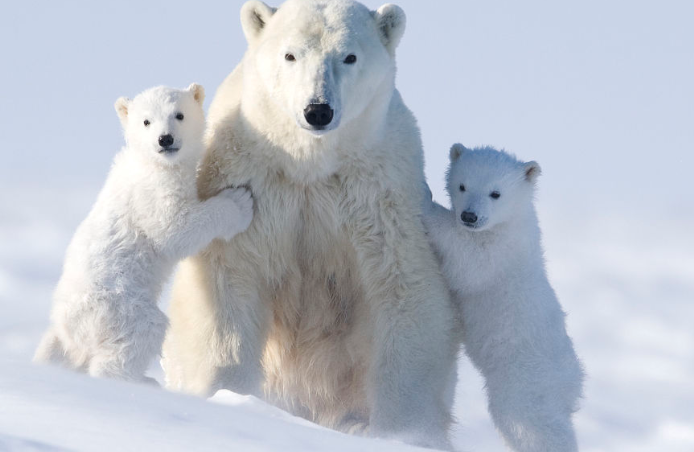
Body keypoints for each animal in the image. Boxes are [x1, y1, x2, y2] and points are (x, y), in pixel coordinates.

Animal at [33, 84, 256, 382]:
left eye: (179, 114)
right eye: (146, 121)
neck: (149, 163)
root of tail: (69, 329)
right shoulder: (152, 194)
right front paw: (239, 202)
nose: (165, 139)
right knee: (141, 334)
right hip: (120, 307)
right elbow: (174, 230)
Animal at [160, 0, 460, 448]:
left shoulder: (378, 195)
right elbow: (229, 281)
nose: (318, 110)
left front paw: (405, 432)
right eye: (290, 55)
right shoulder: (254, 184)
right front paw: (227, 395)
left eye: (349, 56)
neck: (309, 165)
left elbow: (405, 289)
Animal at [424, 145, 588, 452]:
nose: (469, 216)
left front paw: (424, 199)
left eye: (495, 193)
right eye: (462, 185)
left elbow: (468, 260)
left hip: (525, 378)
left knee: (529, 422)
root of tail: (573, 381)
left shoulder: (499, 250)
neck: (513, 222)